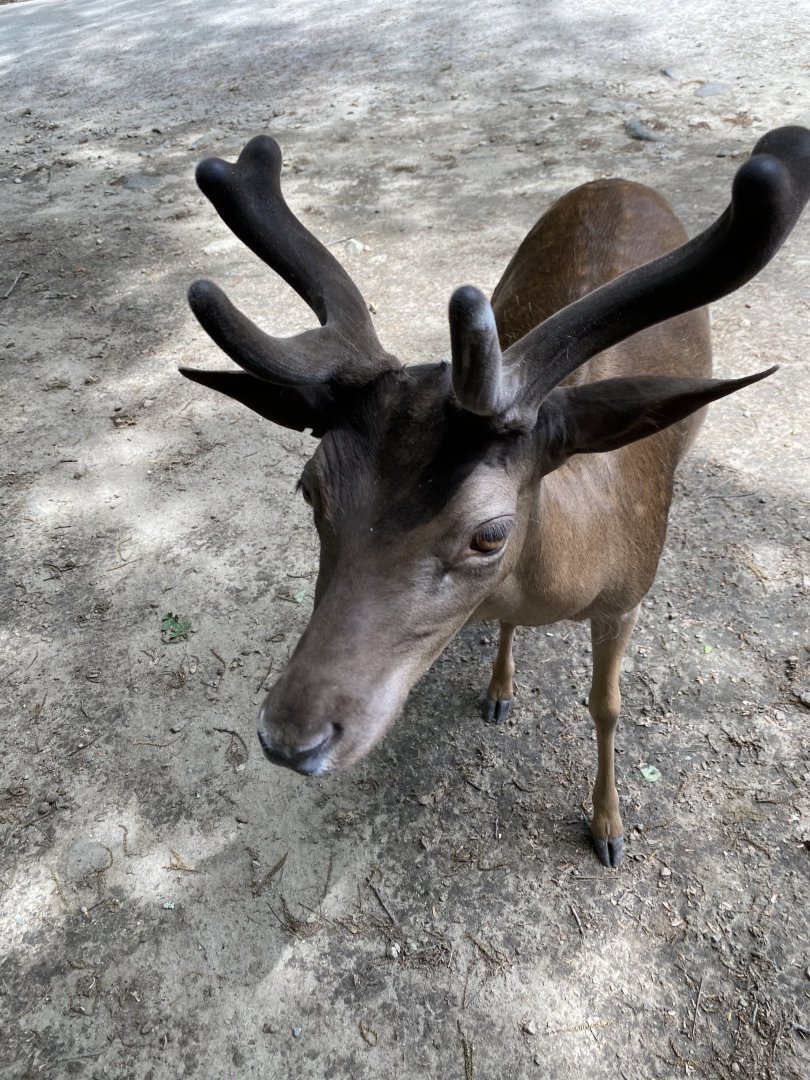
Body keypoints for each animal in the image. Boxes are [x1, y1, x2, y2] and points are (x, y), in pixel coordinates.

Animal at [182, 126, 810, 867]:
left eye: (489, 533)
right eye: (310, 490)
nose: (289, 738)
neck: (568, 577)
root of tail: (615, 180)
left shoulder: (630, 593)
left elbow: (607, 706)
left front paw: (608, 828)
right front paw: (499, 690)